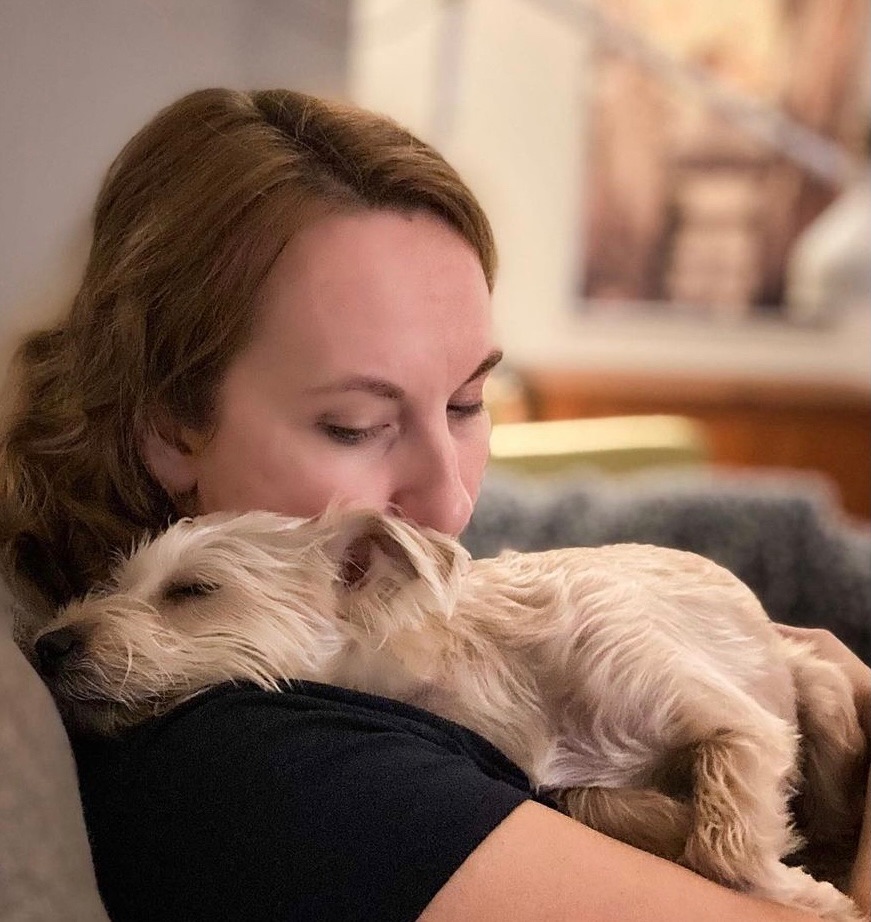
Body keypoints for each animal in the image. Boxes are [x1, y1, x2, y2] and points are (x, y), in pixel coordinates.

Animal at [30, 506, 868, 916]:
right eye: (118, 582)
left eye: (193, 591)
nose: (44, 645)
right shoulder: (572, 778)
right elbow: (614, 805)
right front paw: (678, 824)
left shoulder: (739, 723)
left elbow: (724, 845)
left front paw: (802, 894)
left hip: (821, 693)